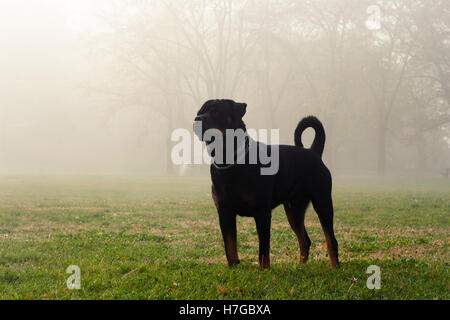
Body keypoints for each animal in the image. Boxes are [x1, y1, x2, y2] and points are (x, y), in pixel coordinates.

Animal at [193, 99, 338, 268]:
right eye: (199, 112)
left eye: (217, 111)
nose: (197, 119)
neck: (230, 160)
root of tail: (314, 152)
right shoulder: (224, 212)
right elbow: (230, 247)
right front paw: (234, 268)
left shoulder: (262, 212)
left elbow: (263, 250)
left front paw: (264, 270)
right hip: (294, 209)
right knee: (305, 240)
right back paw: (301, 266)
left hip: (323, 202)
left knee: (331, 239)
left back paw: (335, 267)